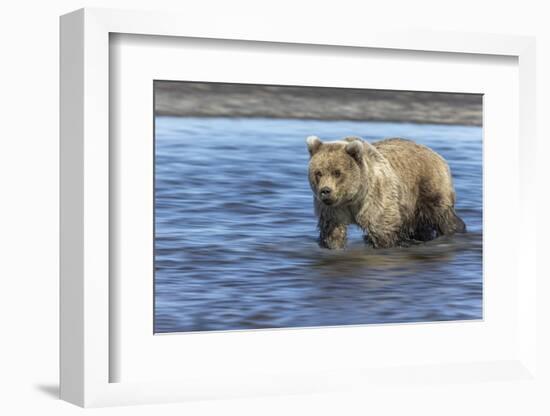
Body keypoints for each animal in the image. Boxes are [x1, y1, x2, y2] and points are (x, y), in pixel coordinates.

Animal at [308, 135, 468, 249]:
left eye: (337, 172)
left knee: (443, 216)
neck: (352, 198)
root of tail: (436, 154)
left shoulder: (374, 198)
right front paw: (332, 246)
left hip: (427, 188)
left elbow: (382, 229)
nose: (325, 191)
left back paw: (456, 231)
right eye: (318, 173)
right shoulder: (333, 209)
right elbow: (332, 232)